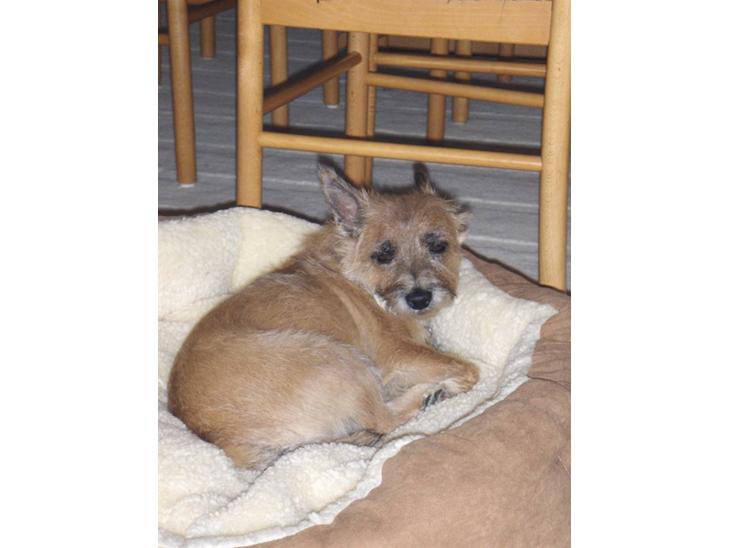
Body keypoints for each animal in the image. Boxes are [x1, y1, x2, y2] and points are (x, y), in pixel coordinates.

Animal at [168, 165, 480, 469]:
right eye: (383, 255)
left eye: (438, 246)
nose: (419, 299)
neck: (364, 283)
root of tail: (223, 440)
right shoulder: (398, 354)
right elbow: (468, 370)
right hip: (341, 359)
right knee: (383, 418)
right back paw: (430, 392)